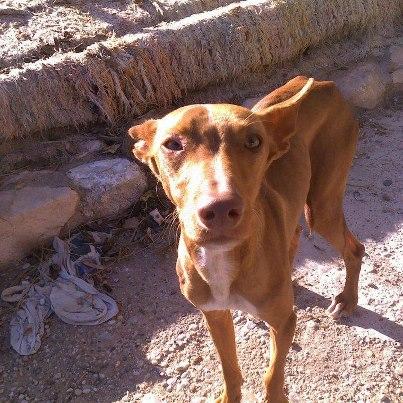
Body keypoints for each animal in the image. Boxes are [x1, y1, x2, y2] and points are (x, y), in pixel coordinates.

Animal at [129, 77, 366, 402]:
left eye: (253, 141)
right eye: (173, 144)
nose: (219, 208)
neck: (222, 260)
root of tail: (323, 83)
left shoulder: (284, 323)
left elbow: (273, 376)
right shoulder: (214, 314)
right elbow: (229, 368)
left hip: (322, 206)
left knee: (355, 249)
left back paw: (347, 300)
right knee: (293, 235)